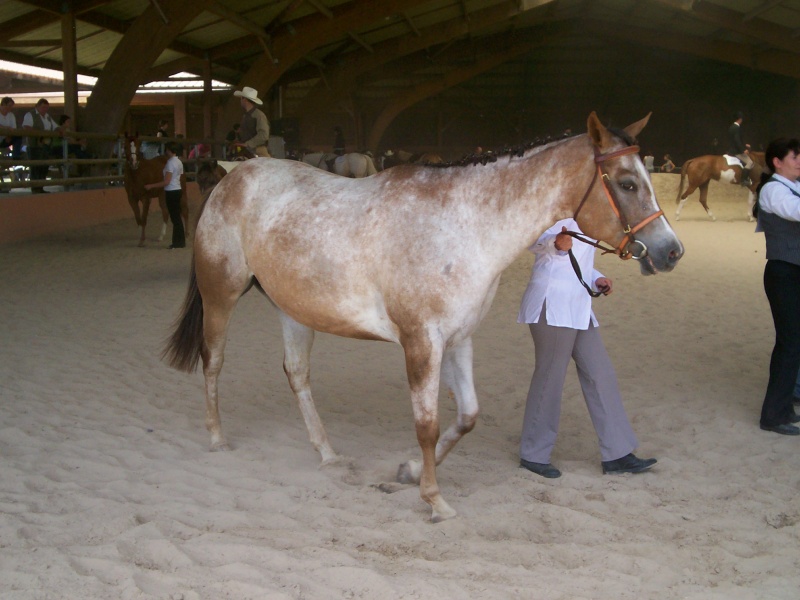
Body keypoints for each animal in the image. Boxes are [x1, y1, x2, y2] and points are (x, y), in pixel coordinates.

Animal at [162, 111, 680, 520]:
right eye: (627, 183)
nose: (670, 251)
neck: (461, 228)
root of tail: (230, 178)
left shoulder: (459, 339)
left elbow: (467, 415)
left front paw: (409, 472)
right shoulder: (421, 342)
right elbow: (427, 425)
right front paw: (434, 499)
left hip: (294, 310)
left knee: (297, 375)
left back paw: (327, 454)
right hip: (221, 296)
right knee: (213, 361)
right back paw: (217, 438)